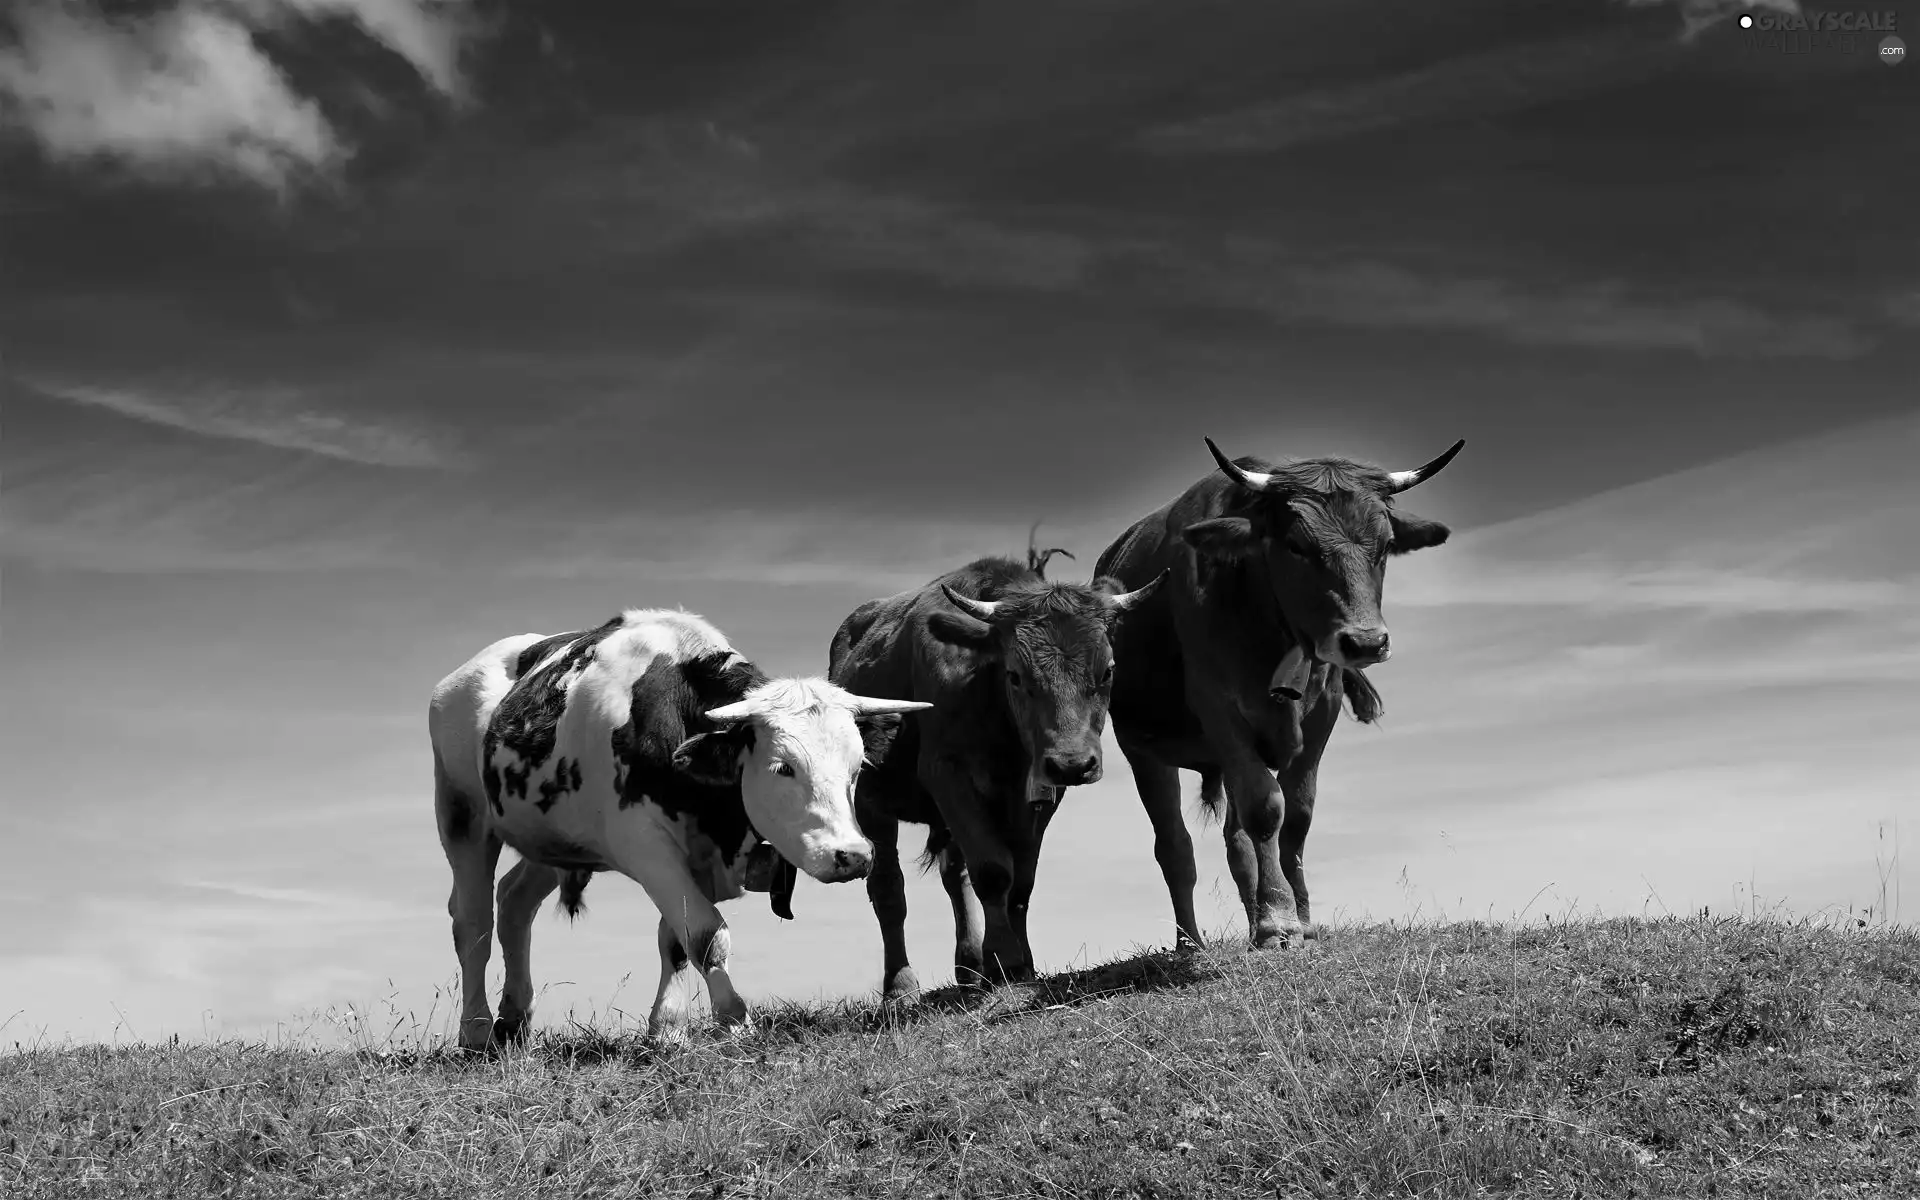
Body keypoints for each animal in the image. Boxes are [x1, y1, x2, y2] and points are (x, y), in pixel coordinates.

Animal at [426, 606, 929, 1044]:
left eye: (857, 767)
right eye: (783, 767)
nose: (853, 856)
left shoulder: (695, 855)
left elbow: (676, 938)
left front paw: (667, 1028)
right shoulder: (646, 848)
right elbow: (706, 935)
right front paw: (734, 1019)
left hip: (551, 839)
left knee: (513, 903)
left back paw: (513, 1020)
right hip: (461, 813)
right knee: (472, 922)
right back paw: (475, 1031)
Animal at [821, 549, 1152, 998]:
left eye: (1107, 671)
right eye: (1015, 675)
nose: (1072, 763)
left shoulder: (1039, 793)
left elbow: (1021, 880)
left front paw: (1019, 963)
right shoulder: (947, 773)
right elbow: (994, 871)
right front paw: (1005, 960)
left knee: (954, 878)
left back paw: (970, 966)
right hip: (872, 802)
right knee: (889, 890)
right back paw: (900, 986)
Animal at [1098, 439, 1466, 956]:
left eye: (1386, 545)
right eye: (1296, 545)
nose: (1366, 642)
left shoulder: (1323, 711)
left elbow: (1297, 814)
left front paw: (1301, 921)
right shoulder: (1219, 709)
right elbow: (1266, 807)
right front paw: (1279, 921)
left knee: (1236, 842)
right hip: (1143, 750)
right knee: (1174, 846)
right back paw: (1191, 941)